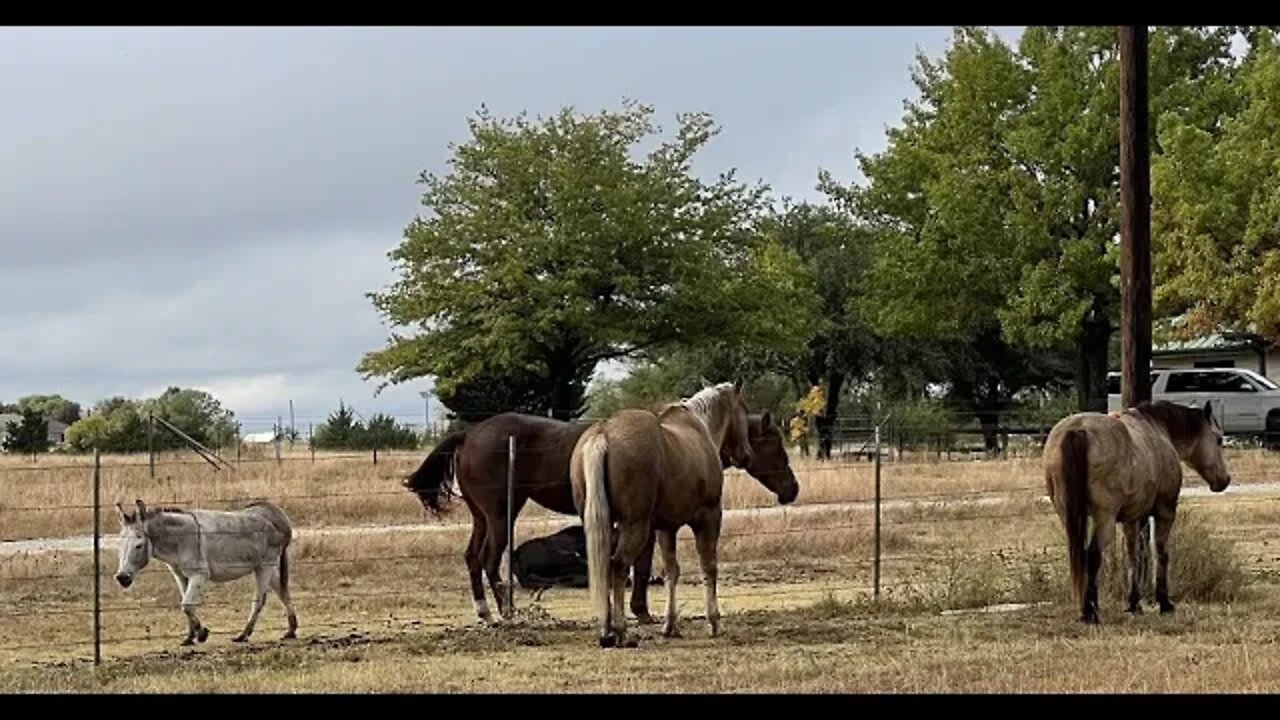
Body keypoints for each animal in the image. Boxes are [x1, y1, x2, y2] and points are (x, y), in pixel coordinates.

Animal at [112, 497, 296, 640]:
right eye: (119, 545)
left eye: (138, 545)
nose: (122, 578)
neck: (179, 540)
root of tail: (275, 517)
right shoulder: (179, 574)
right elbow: (186, 602)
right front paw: (190, 637)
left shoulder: (199, 575)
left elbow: (187, 605)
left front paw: (202, 633)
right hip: (267, 567)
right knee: (283, 591)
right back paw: (291, 630)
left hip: (265, 566)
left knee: (259, 600)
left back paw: (243, 635)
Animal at [1044, 397, 1233, 622]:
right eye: (1218, 439)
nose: (1224, 480)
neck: (1159, 430)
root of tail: (1077, 430)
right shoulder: (1164, 513)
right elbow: (1160, 553)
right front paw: (1164, 602)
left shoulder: (1130, 519)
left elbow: (1133, 555)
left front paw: (1134, 603)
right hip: (1104, 518)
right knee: (1093, 555)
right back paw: (1090, 612)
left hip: (1069, 516)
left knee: (1081, 556)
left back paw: (1088, 608)